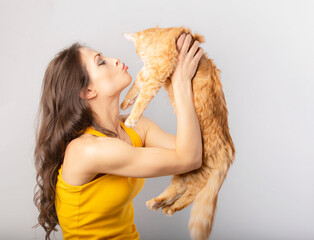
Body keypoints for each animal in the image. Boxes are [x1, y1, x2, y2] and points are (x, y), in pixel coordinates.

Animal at [120, 26, 236, 240]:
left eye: (140, 53)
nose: (142, 58)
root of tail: (230, 149)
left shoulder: (157, 71)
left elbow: (142, 98)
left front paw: (132, 118)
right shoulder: (148, 71)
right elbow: (135, 86)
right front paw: (125, 103)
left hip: (198, 167)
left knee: (191, 192)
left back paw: (167, 207)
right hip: (187, 169)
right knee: (180, 188)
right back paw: (159, 203)